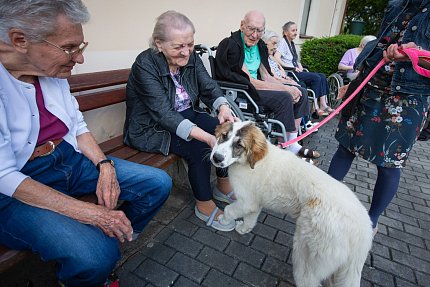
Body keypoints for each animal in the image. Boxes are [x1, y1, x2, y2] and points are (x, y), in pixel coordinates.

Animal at [210, 122, 372, 287]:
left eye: (239, 145)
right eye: (224, 136)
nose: (216, 157)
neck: (251, 162)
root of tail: (362, 233)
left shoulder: (245, 201)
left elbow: (229, 210)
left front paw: (222, 220)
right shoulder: (253, 202)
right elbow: (250, 219)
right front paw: (243, 229)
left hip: (305, 253)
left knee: (307, 280)